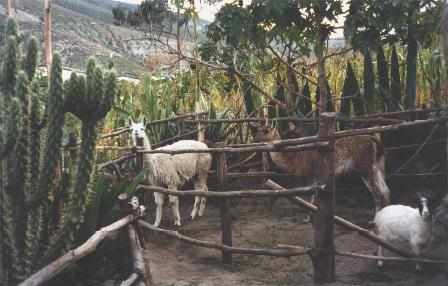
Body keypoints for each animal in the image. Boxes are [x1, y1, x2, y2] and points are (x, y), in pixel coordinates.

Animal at [254, 120, 390, 217]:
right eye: (258, 129)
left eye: (266, 131)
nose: (254, 138)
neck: (294, 160)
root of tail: (374, 139)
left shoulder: (309, 174)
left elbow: (310, 195)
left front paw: (308, 217)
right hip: (378, 165)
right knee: (386, 190)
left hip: (365, 166)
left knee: (378, 193)